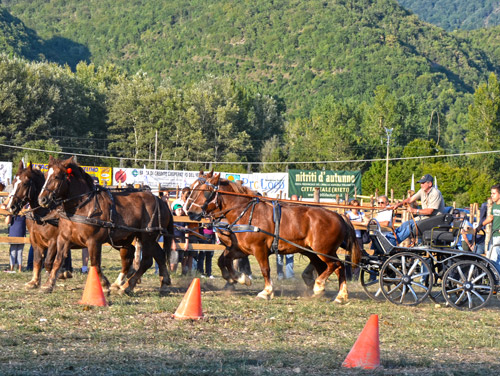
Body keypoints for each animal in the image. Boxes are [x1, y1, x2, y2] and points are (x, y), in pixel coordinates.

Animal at [4, 160, 140, 292]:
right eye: (14, 182)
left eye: (25, 183)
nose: (11, 206)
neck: (44, 213)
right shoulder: (36, 241)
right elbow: (37, 261)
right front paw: (34, 282)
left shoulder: (54, 241)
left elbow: (48, 262)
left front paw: (61, 274)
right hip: (117, 239)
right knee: (129, 250)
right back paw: (129, 275)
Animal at [37, 155, 174, 294]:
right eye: (45, 175)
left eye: (57, 176)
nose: (42, 199)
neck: (83, 206)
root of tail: (160, 201)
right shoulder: (63, 239)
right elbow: (57, 261)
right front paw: (48, 284)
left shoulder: (93, 241)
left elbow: (95, 263)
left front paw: (104, 284)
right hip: (139, 238)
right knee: (156, 255)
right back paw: (162, 283)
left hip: (148, 236)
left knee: (146, 260)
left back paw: (128, 286)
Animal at [186, 171, 362, 302]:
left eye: (205, 191)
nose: (190, 212)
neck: (246, 213)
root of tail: (339, 216)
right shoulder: (240, 249)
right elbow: (223, 260)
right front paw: (240, 278)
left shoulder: (259, 249)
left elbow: (265, 269)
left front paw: (266, 291)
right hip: (315, 252)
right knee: (334, 268)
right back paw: (339, 295)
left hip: (323, 250)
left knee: (336, 265)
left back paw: (320, 286)